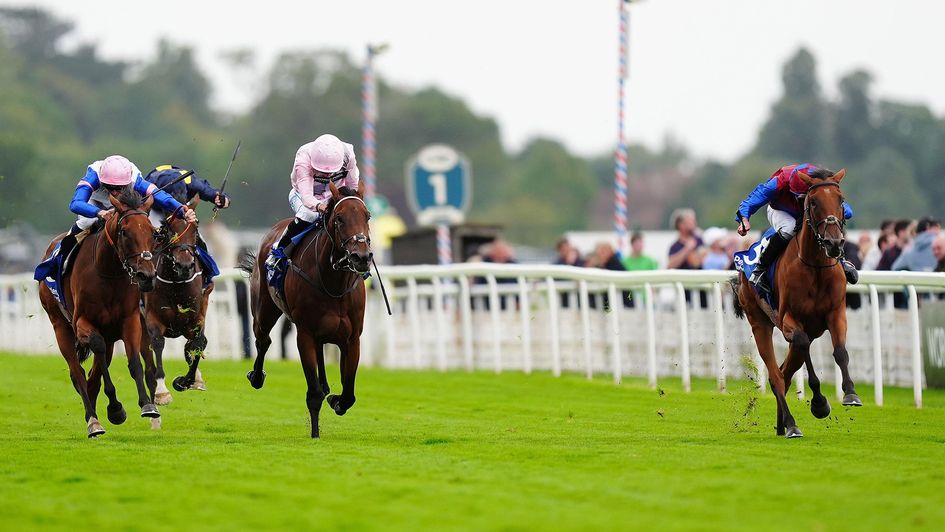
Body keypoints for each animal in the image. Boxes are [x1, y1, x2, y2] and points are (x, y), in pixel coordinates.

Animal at [39, 189, 162, 438]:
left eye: (153, 232)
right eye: (124, 232)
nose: (146, 276)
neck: (108, 272)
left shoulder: (129, 320)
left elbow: (134, 362)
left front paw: (147, 404)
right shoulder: (82, 323)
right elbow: (97, 351)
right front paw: (115, 409)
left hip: (109, 334)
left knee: (92, 377)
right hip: (60, 325)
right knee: (78, 373)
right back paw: (93, 421)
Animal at [142, 206, 212, 406]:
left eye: (195, 230)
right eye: (170, 230)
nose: (184, 265)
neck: (176, 285)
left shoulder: (196, 319)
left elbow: (197, 344)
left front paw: (185, 381)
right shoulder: (152, 319)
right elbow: (158, 343)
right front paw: (161, 391)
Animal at [240, 181, 372, 438]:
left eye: (367, 215)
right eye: (339, 218)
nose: (361, 257)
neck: (333, 284)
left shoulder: (352, 339)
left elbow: (348, 393)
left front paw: (336, 400)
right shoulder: (305, 334)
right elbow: (313, 394)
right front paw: (315, 434)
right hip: (263, 311)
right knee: (263, 340)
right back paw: (256, 376)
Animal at [732, 168, 860, 438]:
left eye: (841, 200)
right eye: (813, 202)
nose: (834, 244)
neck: (815, 267)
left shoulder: (836, 314)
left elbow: (840, 352)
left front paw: (851, 393)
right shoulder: (789, 320)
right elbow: (802, 347)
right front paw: (820, 403)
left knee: (785, 371)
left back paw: (782, 425)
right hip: (760, 323)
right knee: (776, 376)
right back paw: (791, 425)